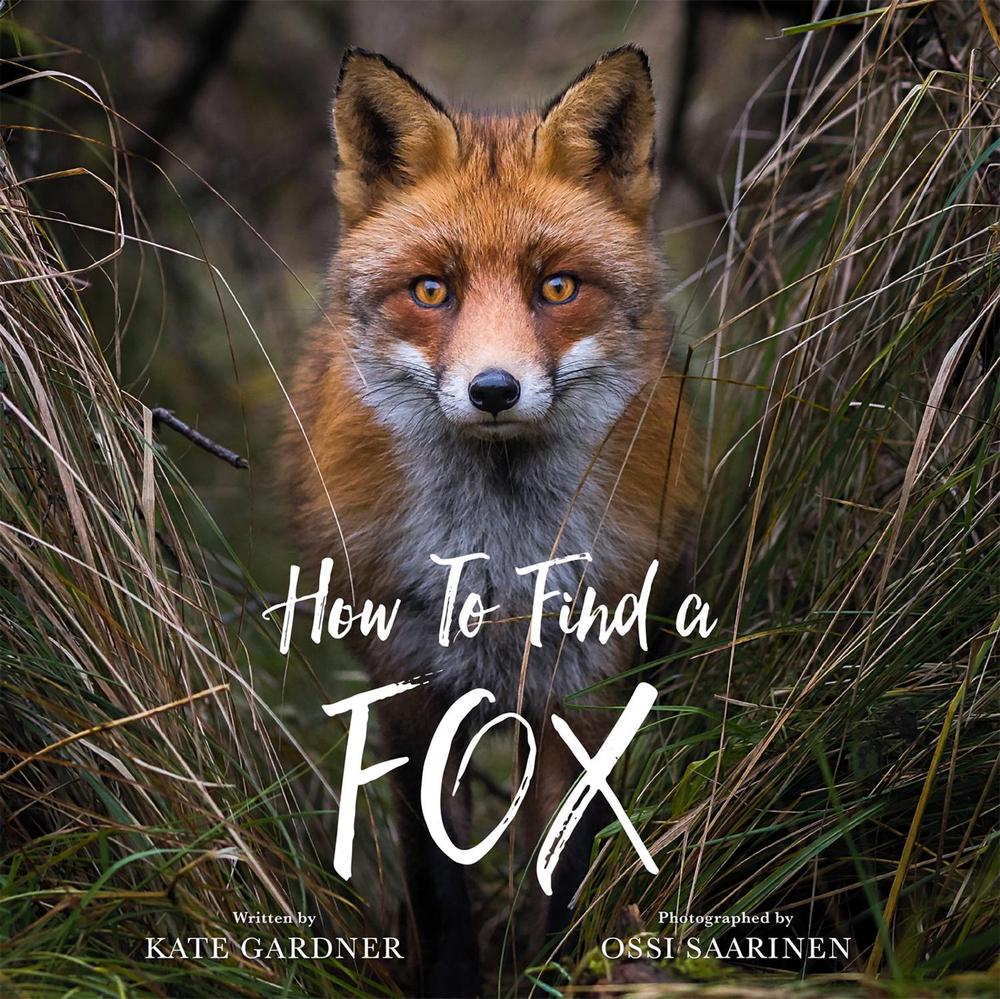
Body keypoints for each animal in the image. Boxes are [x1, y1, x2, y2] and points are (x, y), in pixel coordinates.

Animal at [284, 45, 701, 998]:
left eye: (558, 287)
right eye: (432, 289)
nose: (495, 390)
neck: (502, 566)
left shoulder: (586, 685)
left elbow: (563, 865)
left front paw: (549, 969)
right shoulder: (411, 684)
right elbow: (439, 882)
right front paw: (452, 979)